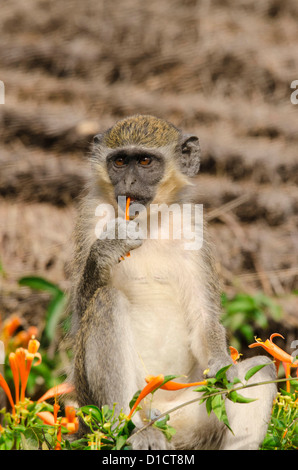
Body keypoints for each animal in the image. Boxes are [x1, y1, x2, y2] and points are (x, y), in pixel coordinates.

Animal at [68, 115, 276, 450]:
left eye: (144, 161)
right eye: (119, 162)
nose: (127, 185)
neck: (149, 223)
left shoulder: (193, 228)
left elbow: (204, 321)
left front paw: (222, 365)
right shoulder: (89, 219)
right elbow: (79, 316)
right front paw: (109, 246)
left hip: (193, 417)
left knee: (258, 374)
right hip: (96, 410)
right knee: (106, 301)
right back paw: (131, 430)